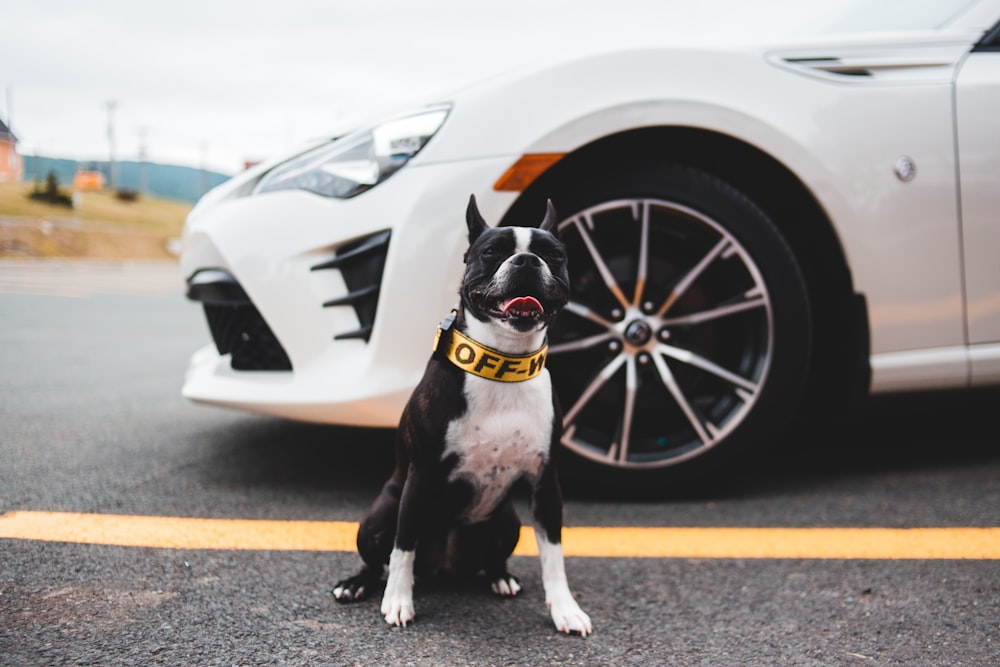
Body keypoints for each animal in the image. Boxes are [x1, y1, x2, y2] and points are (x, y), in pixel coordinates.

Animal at [332, 193, 588, 636]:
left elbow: (554, 553)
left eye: (554, 256)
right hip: (380, 513)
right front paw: (397, 602)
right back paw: (357, 584)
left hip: (507, 521)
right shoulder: (420, 476)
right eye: (492, 252)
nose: (525, 261)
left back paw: (500, 577)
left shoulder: (546, 484)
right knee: (379, 557)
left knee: (491, 557)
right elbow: (403, 547)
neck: (503, 365)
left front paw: (564, 609)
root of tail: (442, 567)